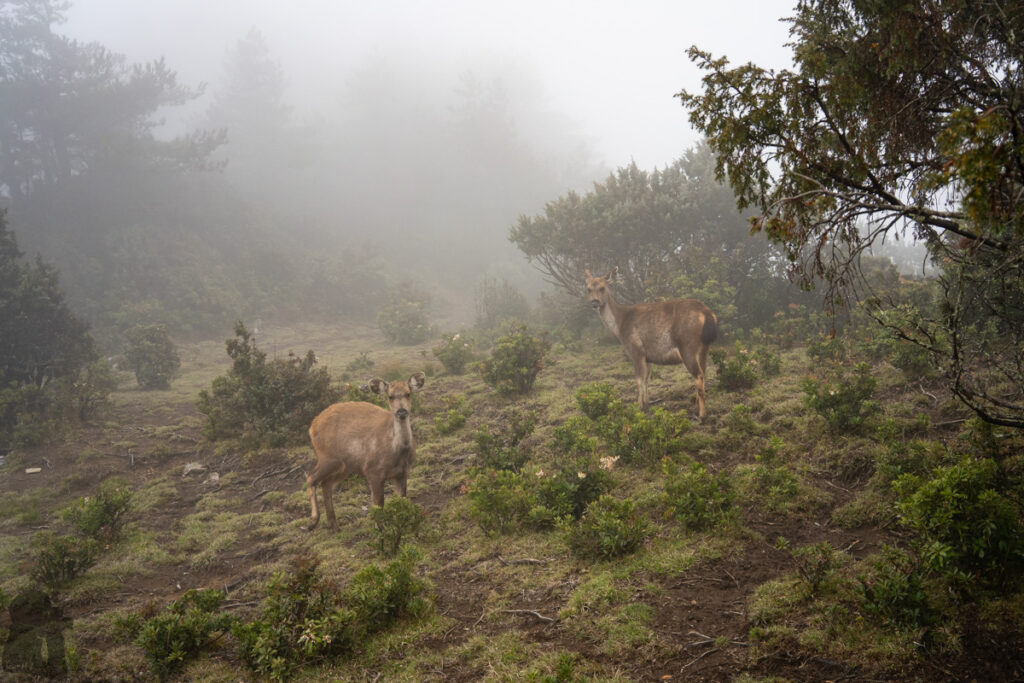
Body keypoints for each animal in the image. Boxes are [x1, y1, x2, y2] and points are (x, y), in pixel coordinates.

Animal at [304, 372, 425, 530]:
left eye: (408, 393)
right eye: (390, 396)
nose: (401, 411)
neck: (397, 452)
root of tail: (312, 426)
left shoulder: (402, 473)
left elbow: (403, 500)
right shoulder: (372, 471)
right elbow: (379, 504)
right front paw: (379, 530)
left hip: (344, 466)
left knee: (326, 483)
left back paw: (334, 525)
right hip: (327, 456)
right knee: (311, 477)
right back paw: (313, 521)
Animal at [584, 268, 717, 421]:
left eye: (602, 287)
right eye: (588, 289)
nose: (594, 303)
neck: (620, 325)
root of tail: (707, 313)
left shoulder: (636, 350)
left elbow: (639, 379)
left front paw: (638, 407)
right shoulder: (649, 357)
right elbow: (646, 380)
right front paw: (647, 403)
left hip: (687, 345)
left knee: (699, 375)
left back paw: (702, 414)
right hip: (704, 347)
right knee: (703, 372)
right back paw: (696, 406)